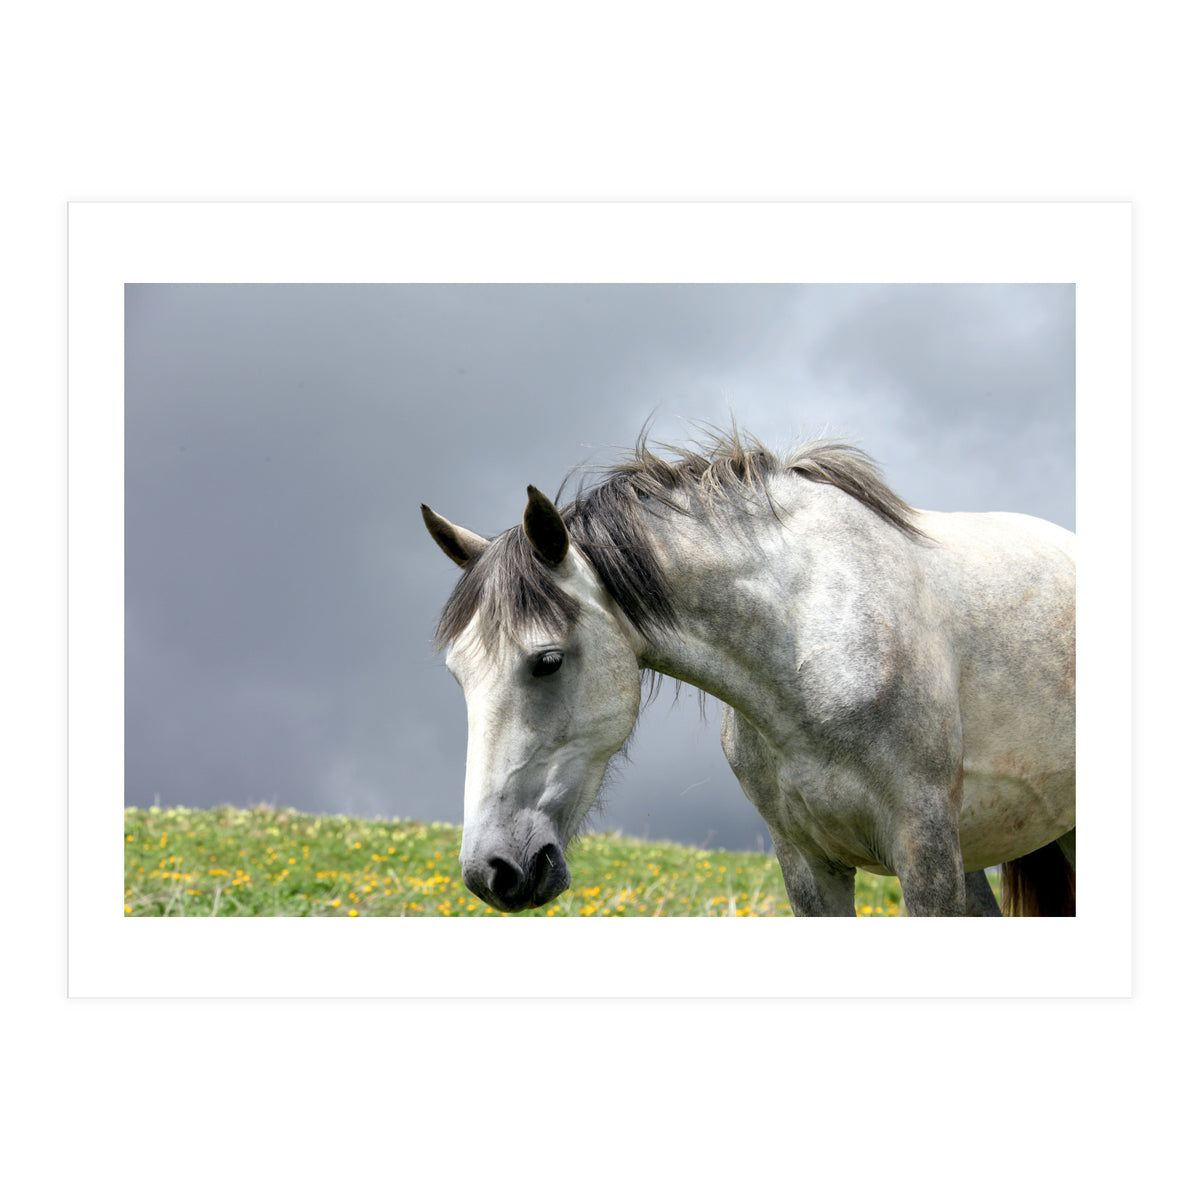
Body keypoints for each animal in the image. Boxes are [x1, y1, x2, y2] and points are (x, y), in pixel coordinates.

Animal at [421, 427, 1076, 917]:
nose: (492, 871)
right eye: (457, 676)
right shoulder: (808, 865)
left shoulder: (925, 850)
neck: (811, 646)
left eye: (548, 661)